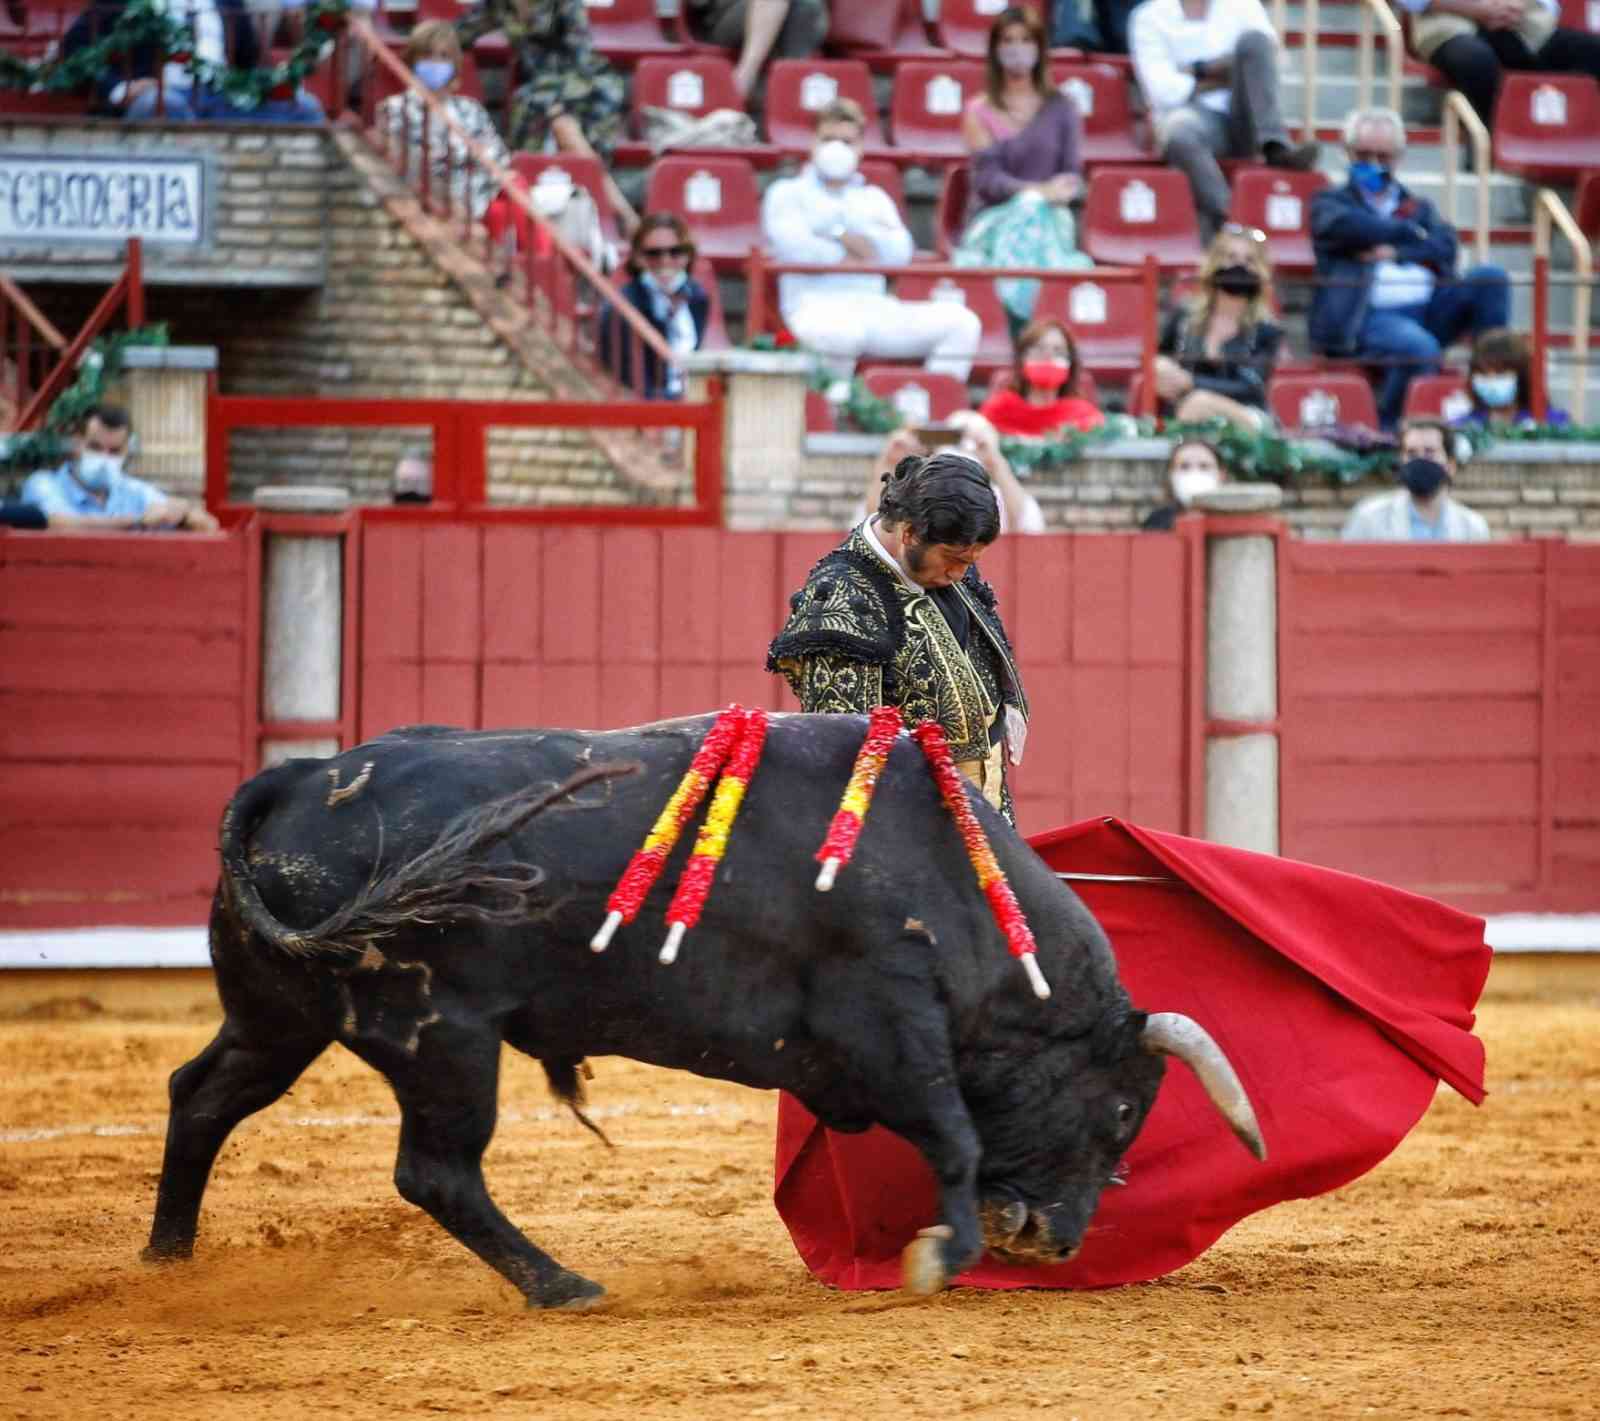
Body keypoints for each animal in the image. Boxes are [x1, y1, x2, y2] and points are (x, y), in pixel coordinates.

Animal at [143, 712, 1264, 1309]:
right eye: (1120, 1111)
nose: (1059, 1241)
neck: (955, 881)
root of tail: (298, 776)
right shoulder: (890, 1017)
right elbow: (951, 1130)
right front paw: (940, 1253)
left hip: (279, 1017)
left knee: (202, 1093)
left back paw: (168, 1257)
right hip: (441, 1036)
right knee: (436, 1170)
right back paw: (564, 1284)